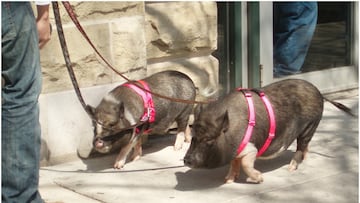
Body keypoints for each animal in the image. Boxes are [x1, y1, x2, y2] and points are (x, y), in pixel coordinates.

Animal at [184, 79, 356, 184]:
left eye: (209, 139)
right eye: (193, 137)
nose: (186, 160)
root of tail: (320, 93)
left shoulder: (251, 148)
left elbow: (245, 163)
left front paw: (259, 179)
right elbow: (234, 163)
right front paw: (228, 180)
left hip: (310, 125)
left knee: (301, 146)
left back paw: (291, 168)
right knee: (306, 146)